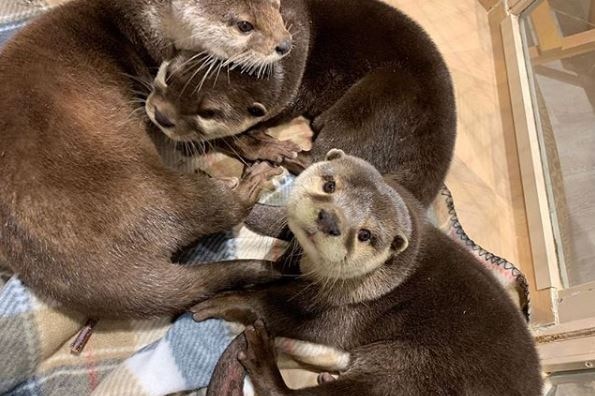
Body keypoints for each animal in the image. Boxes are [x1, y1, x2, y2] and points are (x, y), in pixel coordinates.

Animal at [0, 0, 294, 316]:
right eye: (244, 25)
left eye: (277, 6)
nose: (285, 44)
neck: (139, 23)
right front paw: (266, 147)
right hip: (157, 188)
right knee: (226, 209)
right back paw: (251, 179)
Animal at [152, 0, 456, 209]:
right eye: (170, 76)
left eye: (209, 112)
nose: (161, 115)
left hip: (376, 99)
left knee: (325, 156)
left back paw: (279, 154)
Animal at [192, 150, 544, 394]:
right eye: (329, 184)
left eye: (365, 235)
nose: (330, 219)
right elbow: (272, 218)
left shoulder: (344, 310)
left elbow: (275, 307)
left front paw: (224, 301)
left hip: (405, 368)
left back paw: (260, 357)